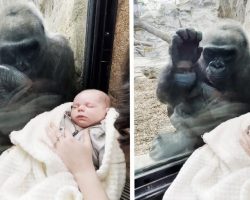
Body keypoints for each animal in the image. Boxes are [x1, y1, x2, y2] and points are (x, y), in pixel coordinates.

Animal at [149, 22, 250, 160]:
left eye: (227, 54)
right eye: (211, 52)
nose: (217, 65)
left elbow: (238, 113)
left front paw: (177, 140)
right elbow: (168, 96)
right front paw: (183, 56)